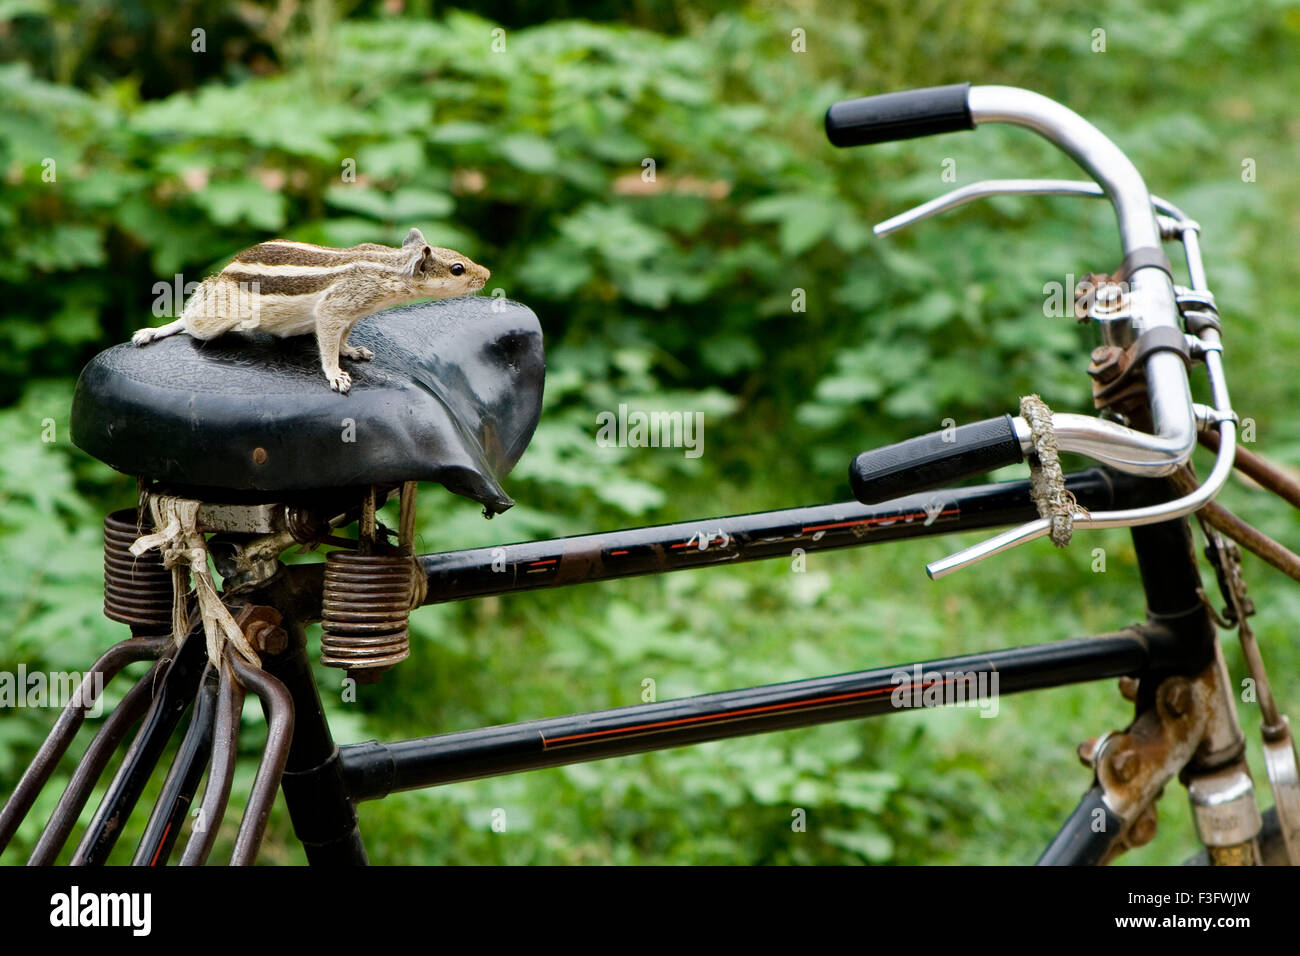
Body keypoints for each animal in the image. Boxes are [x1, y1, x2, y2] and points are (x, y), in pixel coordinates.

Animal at [132, 228, 490, 394]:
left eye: (459, 256)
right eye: (458, 269)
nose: (486, 274)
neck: (388, 268)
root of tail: (224, 272)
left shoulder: (351, 314)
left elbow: (342, 337)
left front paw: (352, 350)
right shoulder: (336, 307)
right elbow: (328, 342)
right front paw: (335, 374)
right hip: (218, 314)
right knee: (192, 319)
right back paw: (157, 330)